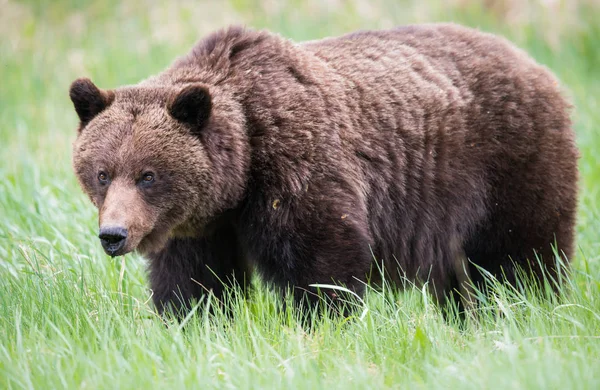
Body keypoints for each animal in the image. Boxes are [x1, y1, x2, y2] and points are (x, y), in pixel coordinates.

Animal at [69, 23, 576, 316]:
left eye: (148, 175)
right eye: (102, 173)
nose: (113, 235)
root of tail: (533, 63)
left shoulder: (297, 168)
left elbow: (323, 260)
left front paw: (321, 321)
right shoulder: (199, 226)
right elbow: (194, 281)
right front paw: (191, 321)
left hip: (505, 163)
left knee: (522, 254)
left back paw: (534, 306)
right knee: (460, 276)